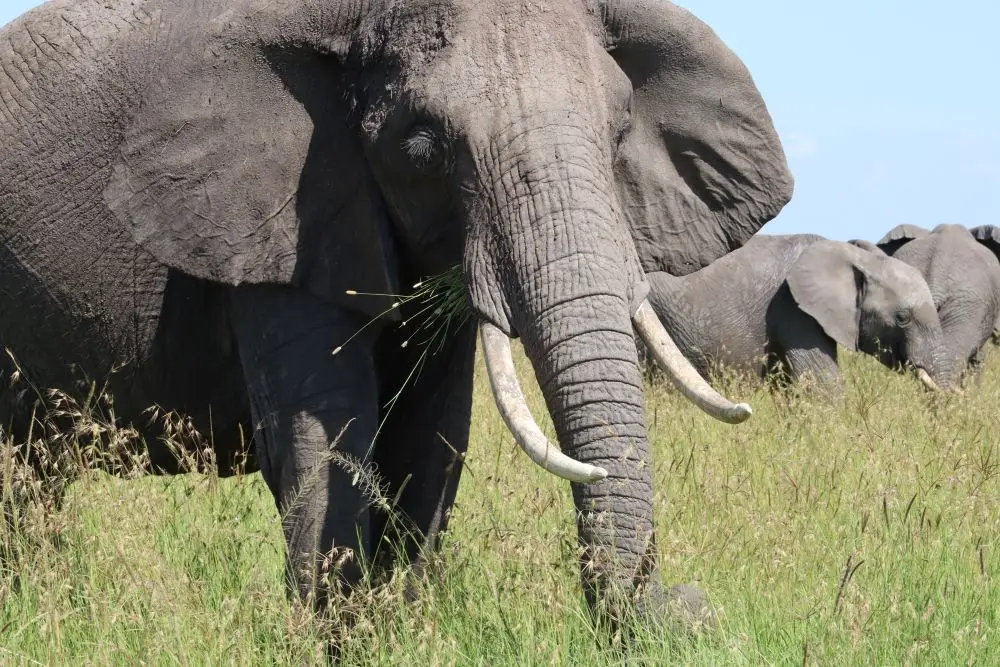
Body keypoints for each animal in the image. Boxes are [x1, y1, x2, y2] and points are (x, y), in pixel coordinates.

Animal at [0, 0, 793, 630]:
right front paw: (338, 639)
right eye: (423, 149)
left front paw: (398, 630)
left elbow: (431, 438)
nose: (684, 606)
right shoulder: (275, 218)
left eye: (621, 130)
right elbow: (326, 436)